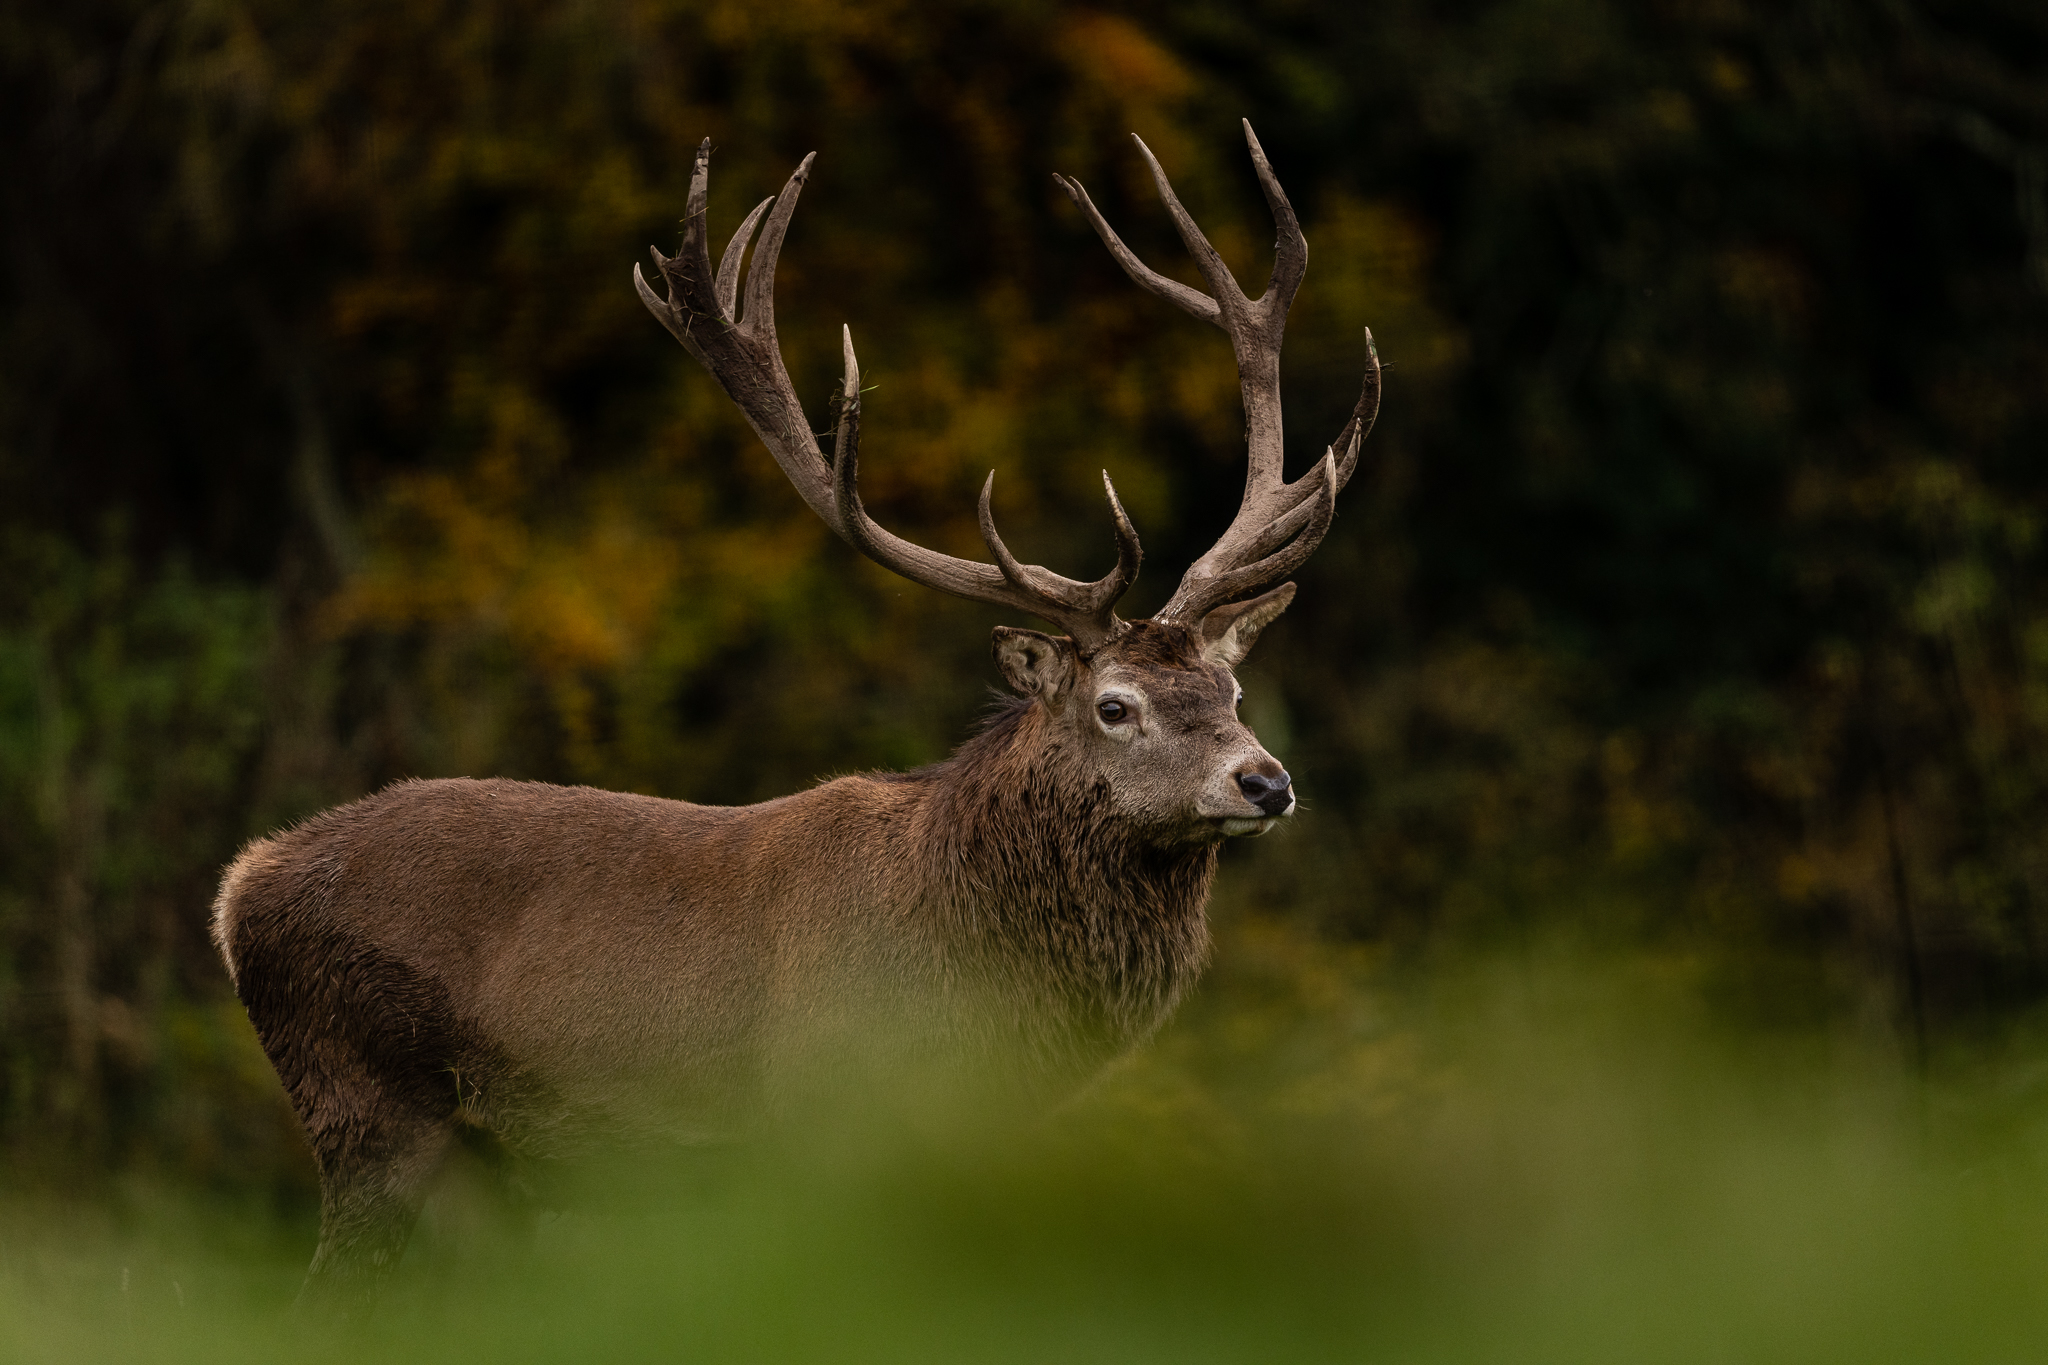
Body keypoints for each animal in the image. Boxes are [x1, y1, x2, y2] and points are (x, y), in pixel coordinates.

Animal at [211, 121, 1379, 1314]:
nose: (1266, 780)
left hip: (483, 1168)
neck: (984, 997)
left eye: (1230, 693)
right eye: (1115, 705)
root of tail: (238, 890)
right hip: (371, 1110)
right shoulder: (827, 1125)